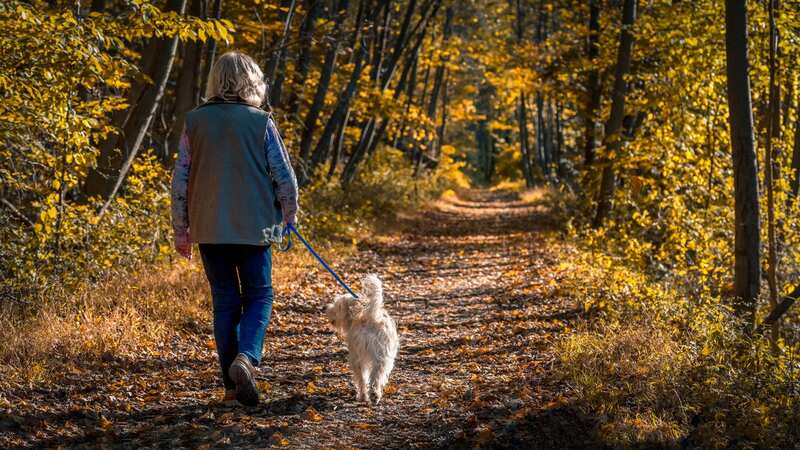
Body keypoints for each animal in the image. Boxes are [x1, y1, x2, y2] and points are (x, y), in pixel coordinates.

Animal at [324, 274, 400, 404]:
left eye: (338, 306)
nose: (326, 308)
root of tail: (372, 317)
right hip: (383, 358)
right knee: (376, 376)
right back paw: (375, 395)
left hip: (358, 358)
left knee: (362, 379)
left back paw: (363, 396)